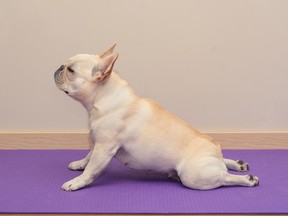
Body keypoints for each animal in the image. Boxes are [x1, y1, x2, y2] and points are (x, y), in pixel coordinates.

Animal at [53, 44, 258, 191]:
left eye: (71, 71)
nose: (59, 67)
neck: (104, 97)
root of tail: (215, 148)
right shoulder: (98, 143)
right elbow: (88, 157)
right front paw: (79, 164)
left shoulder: (104, 148)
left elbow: (91, 169)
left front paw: (77, 182)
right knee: (223, 164)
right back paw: (238, 164)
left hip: (194, 176)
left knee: (224, 177)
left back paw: (246, 179)